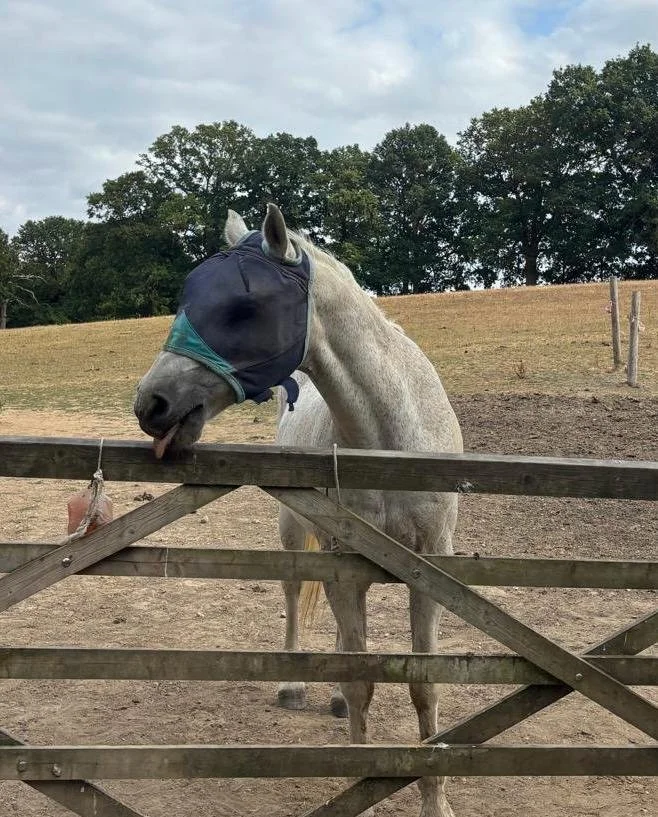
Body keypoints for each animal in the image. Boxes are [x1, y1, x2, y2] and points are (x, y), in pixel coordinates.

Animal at [134, 203, 463, 817]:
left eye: (244, 307)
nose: (151, 403)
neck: (388, 441)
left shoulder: (428, 569)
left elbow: (423, 685)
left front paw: (435, 802)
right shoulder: (342, 569)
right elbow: (361, 680)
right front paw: (363, 788)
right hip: (294, 536)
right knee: (294, 601)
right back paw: (296, 687)